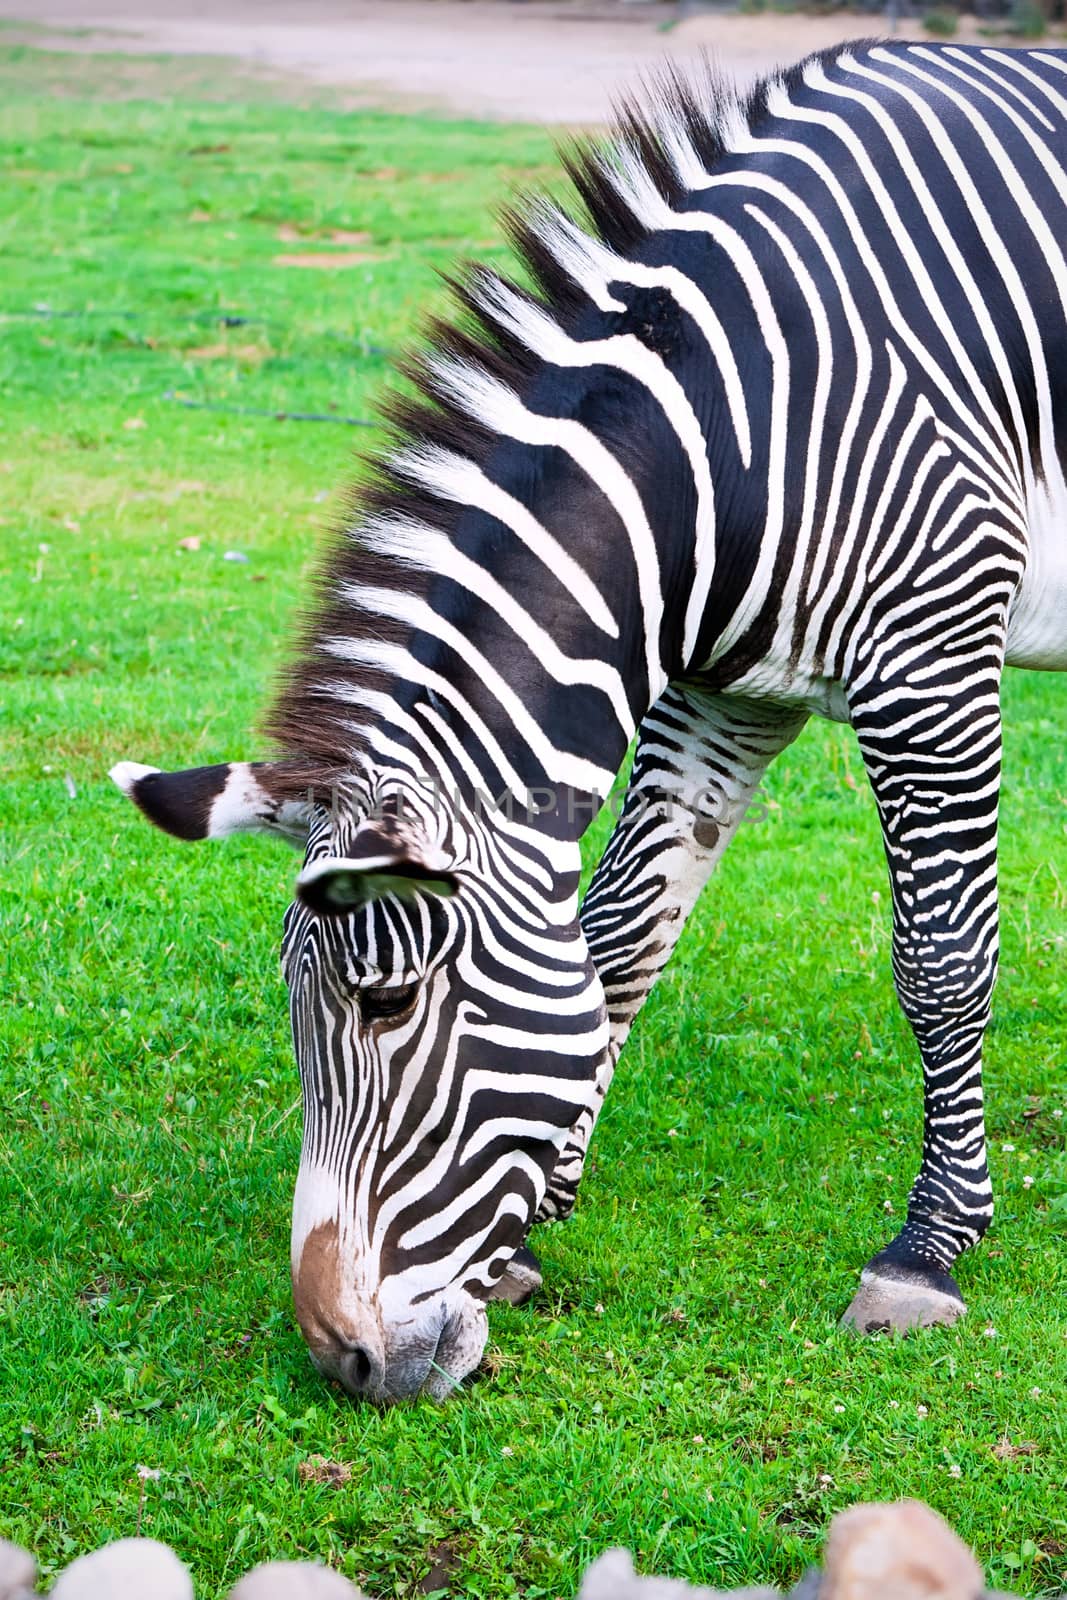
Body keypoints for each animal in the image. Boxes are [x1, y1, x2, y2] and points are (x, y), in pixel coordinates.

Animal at [108, 43, 1067, 1401]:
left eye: (386, 1005)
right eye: (294, 1006)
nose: (341, 1361)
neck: (730, 437)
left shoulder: (927, 655)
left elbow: (939, 959)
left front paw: (927, 1245)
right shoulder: (726, 693)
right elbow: (616, 943)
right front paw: (536, 1214)